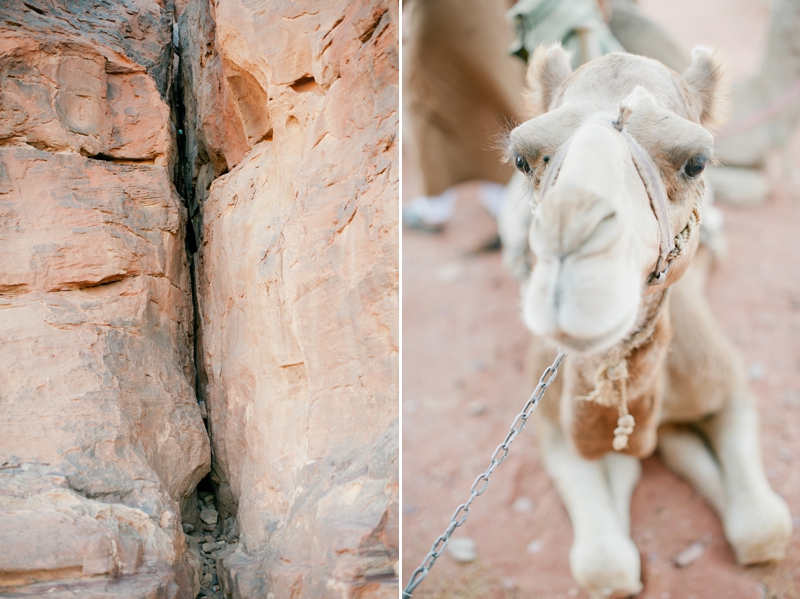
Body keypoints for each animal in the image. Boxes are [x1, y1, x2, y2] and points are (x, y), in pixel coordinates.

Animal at [500, 45, 792, 599]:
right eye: (523, 158)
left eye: (695, 162)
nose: (571, 238)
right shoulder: (549, 426)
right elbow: (605, 566)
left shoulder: (730, 384)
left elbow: (767, 529)